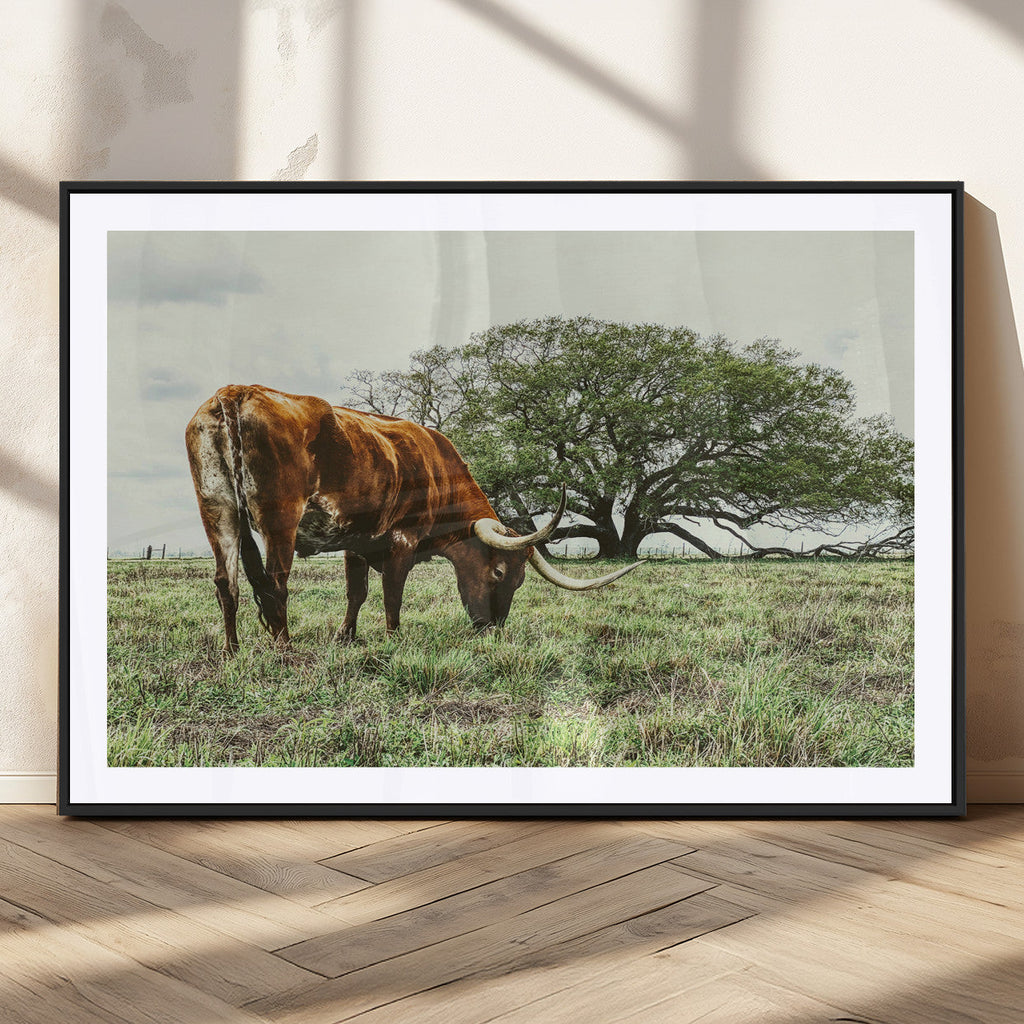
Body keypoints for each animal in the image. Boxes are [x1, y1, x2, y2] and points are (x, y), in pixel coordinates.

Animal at [185, 384, 642, 652]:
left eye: (520, 580)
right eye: (498, 572)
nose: (491, 628)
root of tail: (235, 392)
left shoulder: (355, 541)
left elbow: (356, 594)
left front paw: (346, 637)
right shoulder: (401, 540)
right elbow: (392, 594)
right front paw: (393, 638)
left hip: (217, 510)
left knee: (226, 582)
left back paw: (232, 650)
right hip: (280, 517)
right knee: (275, 582)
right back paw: (284, 648)